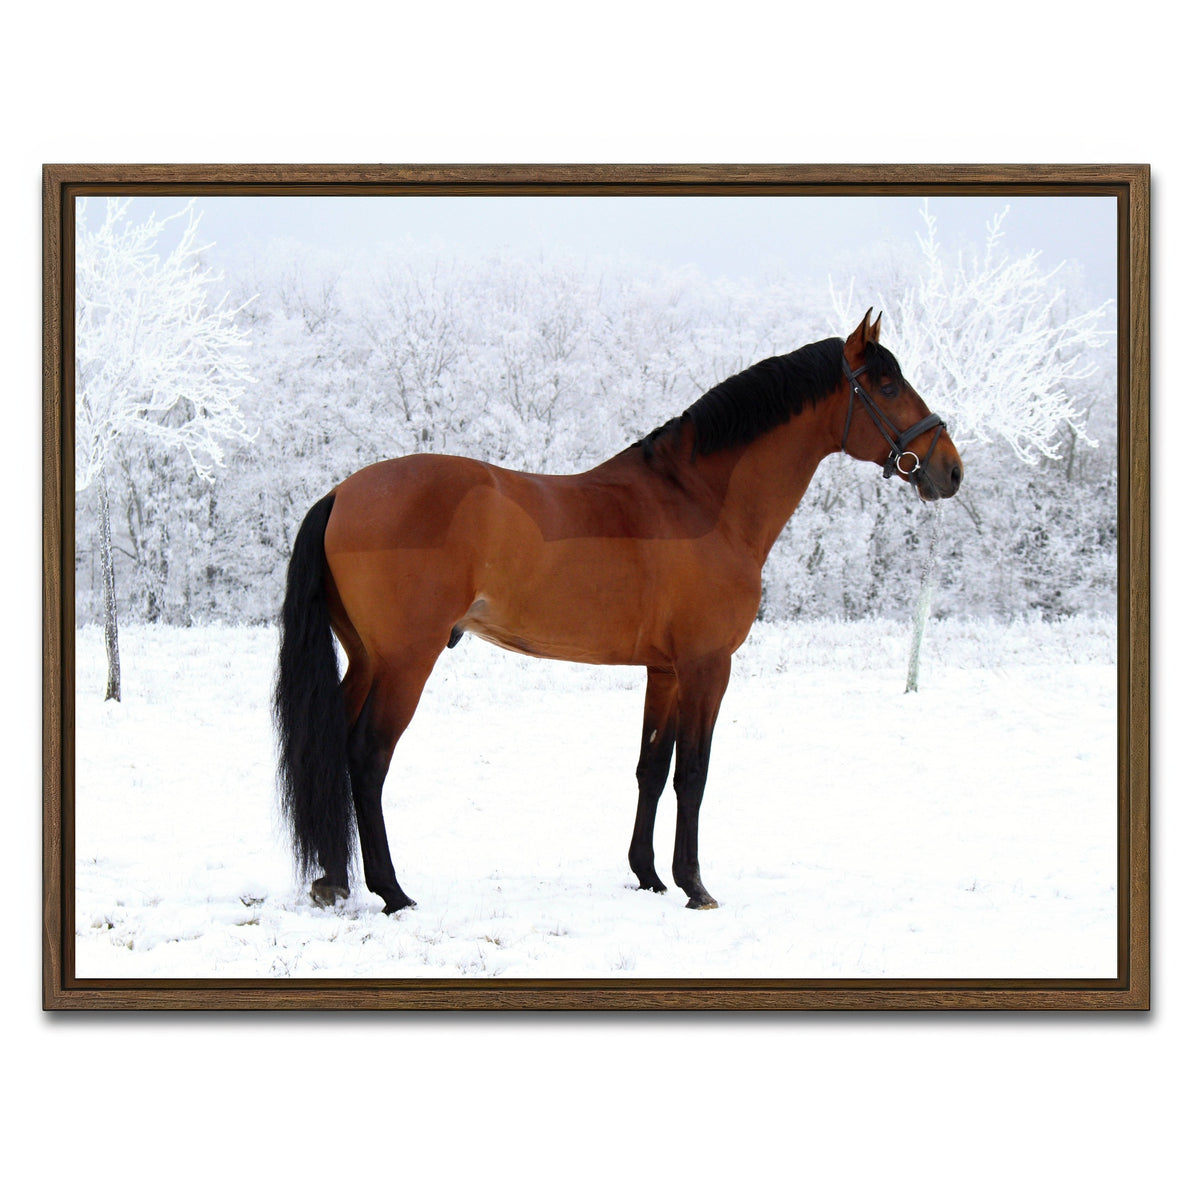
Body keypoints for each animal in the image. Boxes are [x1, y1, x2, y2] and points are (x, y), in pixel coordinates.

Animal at [274, 309, 963, 913]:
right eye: (886, 384)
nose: (950, 470)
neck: (699, 502)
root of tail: (341, 494)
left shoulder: (665, 671)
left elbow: (651, 769)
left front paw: (649, 876)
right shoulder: (708, 666)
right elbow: (694, 773)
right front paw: (695, 886)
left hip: (366, 659)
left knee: (332, 746)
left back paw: (333, 880)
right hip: (405, 662)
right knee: (367, 756)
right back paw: (391, 892)